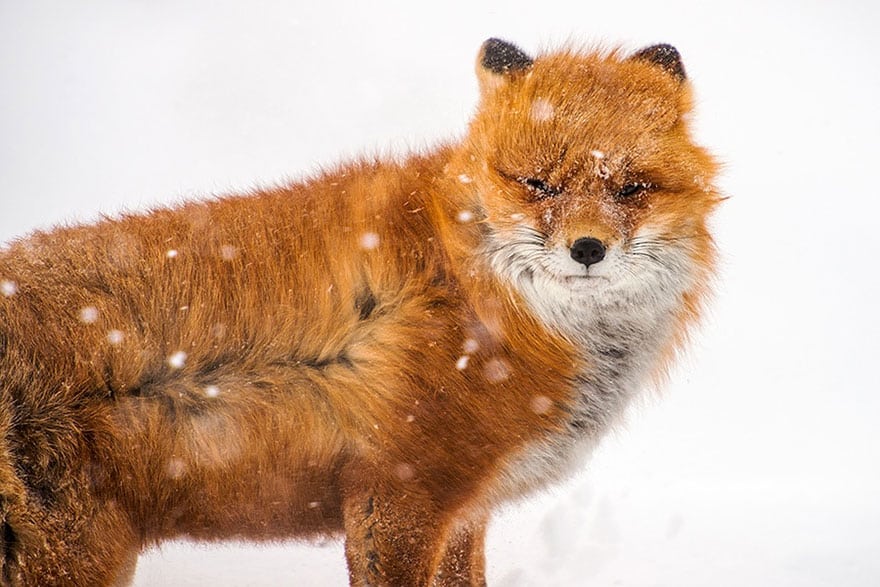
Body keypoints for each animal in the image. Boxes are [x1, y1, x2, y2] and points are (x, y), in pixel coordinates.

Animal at [0, 38, 720, 587]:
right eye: (537, 184)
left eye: (631, 188)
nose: (588, 249)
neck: (476, 292)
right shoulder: (399, 488)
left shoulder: (465, 505)